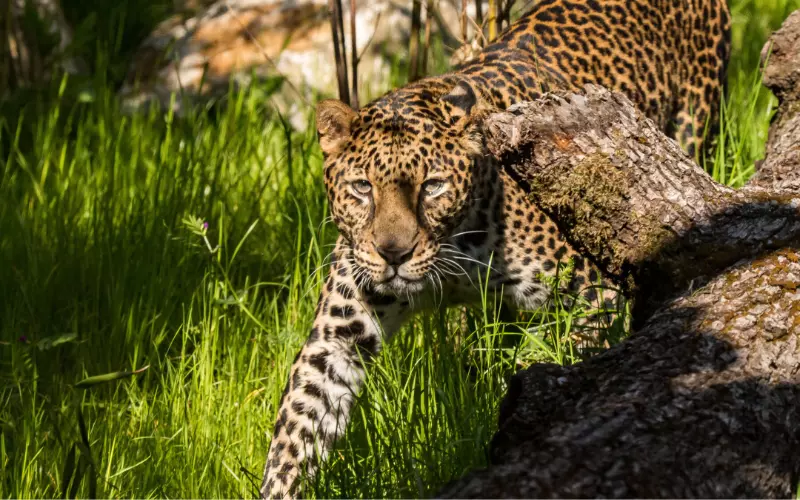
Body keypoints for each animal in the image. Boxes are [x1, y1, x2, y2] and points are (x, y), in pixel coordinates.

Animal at [260, 0, 728, 496]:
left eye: (433, 186)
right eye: (363, 188)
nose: (393, 255)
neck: (450, 261)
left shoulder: (593, 299)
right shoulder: (338, 338)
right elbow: (297, 429)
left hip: (695, 121)